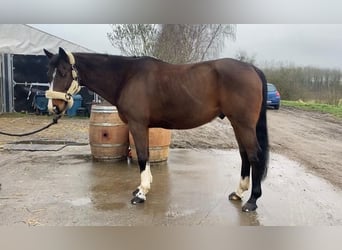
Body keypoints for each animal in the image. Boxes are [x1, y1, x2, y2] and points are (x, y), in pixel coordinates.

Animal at [43, 47, 268, 213]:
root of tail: (252, 68)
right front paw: (142, 187)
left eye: (63, 72)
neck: (127, 77)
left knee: (254, 155)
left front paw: (142, 193)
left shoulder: (137, 124)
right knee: (244, 154)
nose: (53, 107)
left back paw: (252, 201)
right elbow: (146, 156)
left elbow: (143, 156)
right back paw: (238, 193)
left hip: (243, 124)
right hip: (237, 124)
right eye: (48, 73)